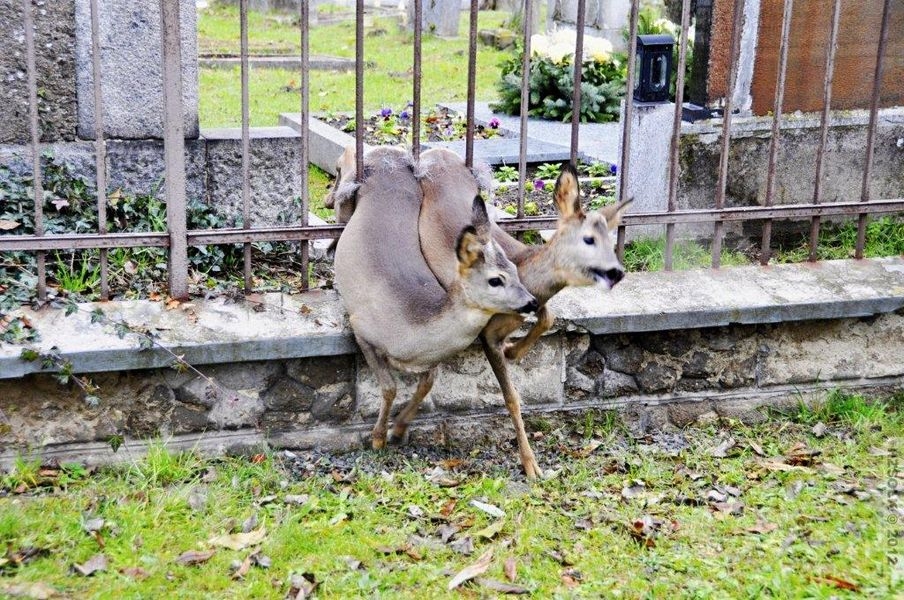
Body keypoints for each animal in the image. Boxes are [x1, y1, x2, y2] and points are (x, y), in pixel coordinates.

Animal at [336, 146, 540, 450]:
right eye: (495, 280)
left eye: (516, 271)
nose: (532, 302)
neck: (413, 331)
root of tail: (389, 153)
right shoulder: (361, 327)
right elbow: (390, 387)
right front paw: (378, 438)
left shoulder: (430, 361)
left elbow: (427, 384)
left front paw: (399, 428)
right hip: (352, 189)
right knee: (346, 168)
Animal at [414, 148, 628, 480]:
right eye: (589, 239)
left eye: (611, 238)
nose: (617, 272)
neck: (524, 270)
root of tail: (438, 152)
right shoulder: (486, 333)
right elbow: (512, 398)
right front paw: (531, 465)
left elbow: (547, 316)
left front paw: (515, 349)